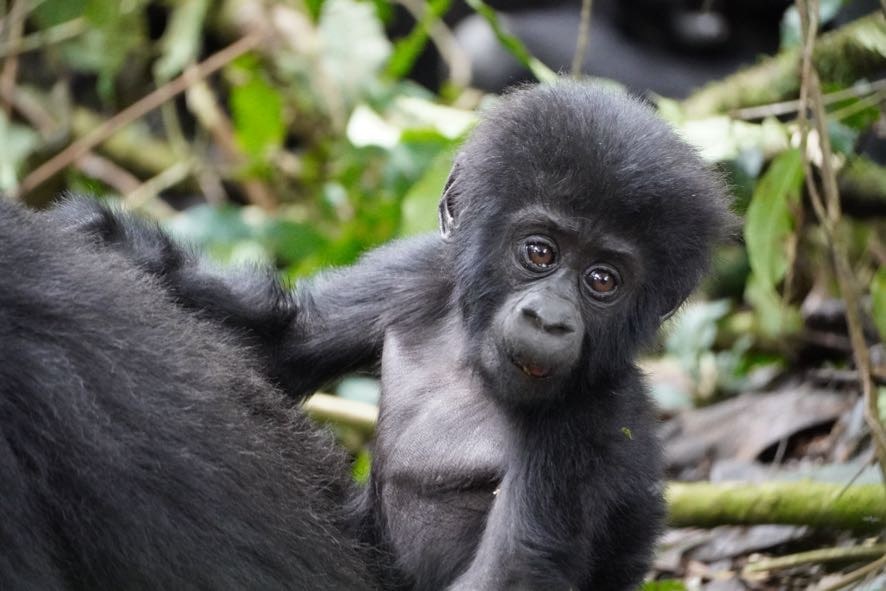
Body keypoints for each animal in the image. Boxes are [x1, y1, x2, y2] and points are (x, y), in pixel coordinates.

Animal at [62, 81, 736, 588]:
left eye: (602, 281)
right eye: (539, 252)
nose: (550, 319)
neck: (470, 361)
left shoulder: (586, 426)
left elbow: (510, 574)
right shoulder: (416, 273)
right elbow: (281, 341)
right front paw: (99, 236)